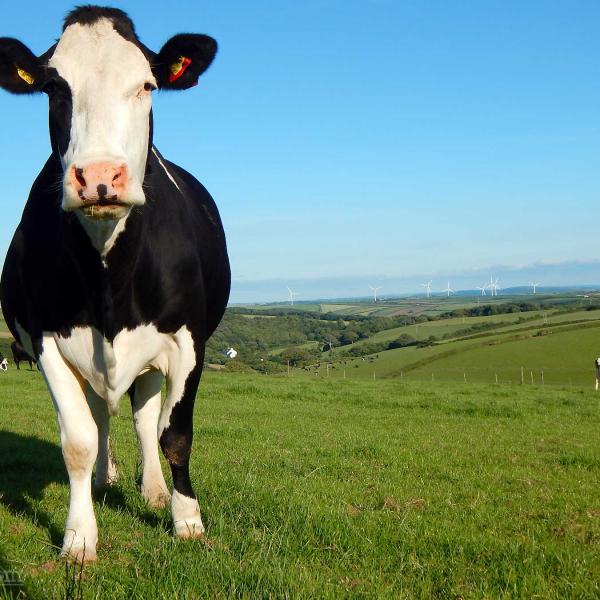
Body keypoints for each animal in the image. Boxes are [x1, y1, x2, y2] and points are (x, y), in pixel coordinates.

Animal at [0, 5, 230, 564]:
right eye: (54, 88)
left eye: (147, 84)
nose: (100, 176)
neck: (109, 279)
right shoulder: (47, 341)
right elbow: (78, 439)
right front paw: (80, 537)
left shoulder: (188, 340)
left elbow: (175, 433)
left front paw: (186, 519)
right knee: (102, 414)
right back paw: (108, 479)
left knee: (145, 415)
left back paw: (153, 490)